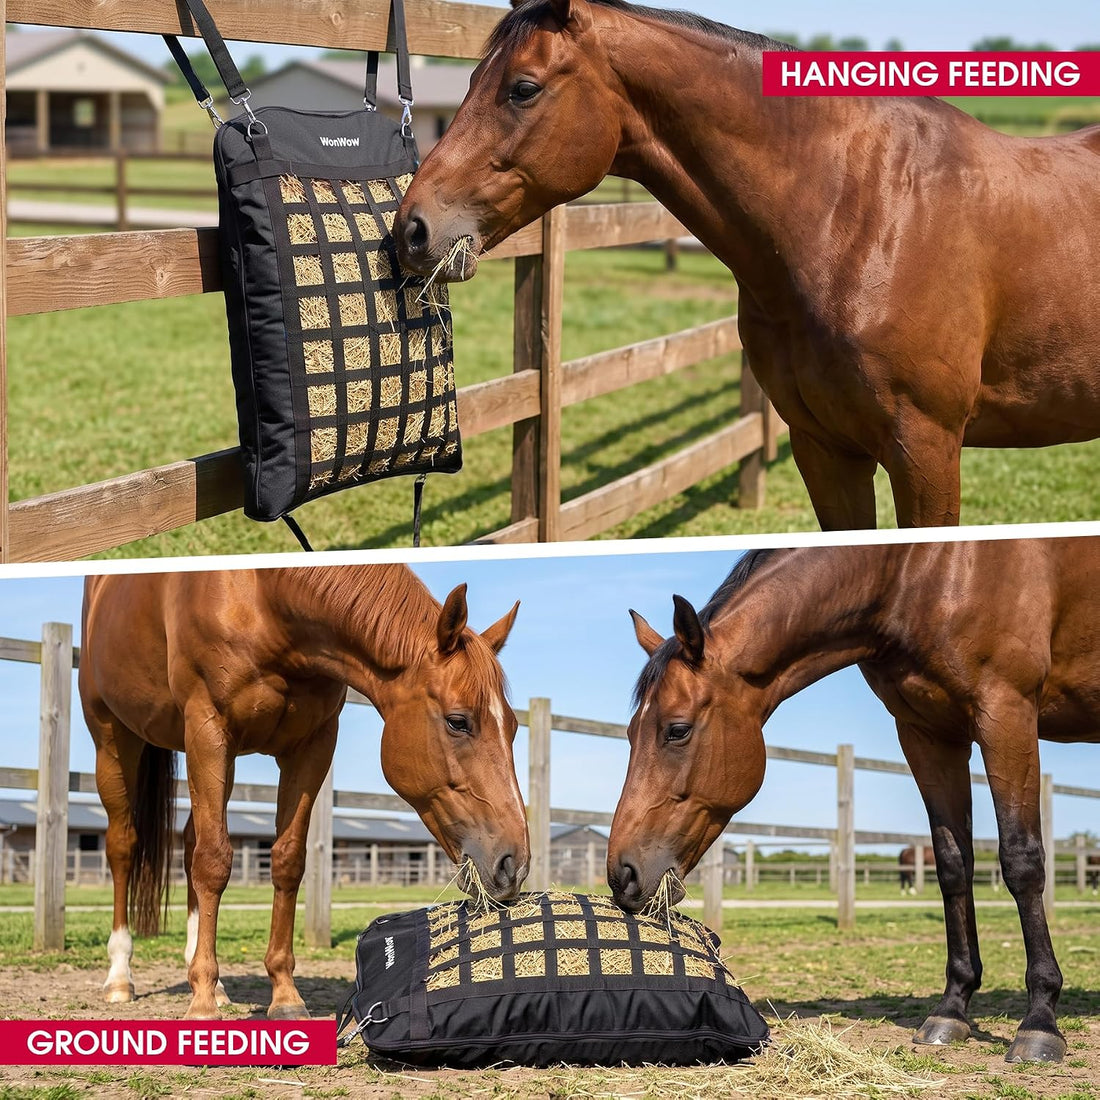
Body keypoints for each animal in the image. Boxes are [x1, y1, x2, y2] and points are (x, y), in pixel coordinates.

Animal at [80, 565, 525, 1019]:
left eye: (512, 726)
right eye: (458, 721)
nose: (514, 863)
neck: (265, 598)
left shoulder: (312, 745)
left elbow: (287, 860)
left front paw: (283, 995)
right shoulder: (208, 729)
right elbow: (214, 861)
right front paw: (201, 1003)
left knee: (189, 844)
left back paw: (213, 982)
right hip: (113, 738)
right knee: (124, 845)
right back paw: (121, 976)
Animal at [608, 540, 1099, 1063]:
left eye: (676, 730)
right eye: (631, 733)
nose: (622, 875)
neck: (922, 575)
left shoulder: (1007, 713)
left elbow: (1022, 862)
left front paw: (1041, 1020)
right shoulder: (929, 734)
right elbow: (951, 865)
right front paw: (951, 1010)